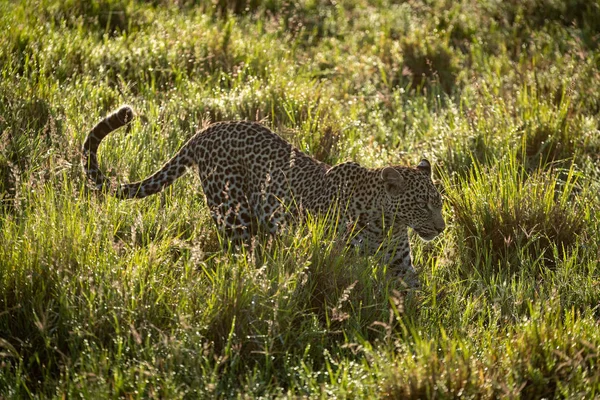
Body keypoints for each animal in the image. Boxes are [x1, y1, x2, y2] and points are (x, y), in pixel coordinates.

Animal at [82, 104, 442, 282]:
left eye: (438, 203)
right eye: (422, 205)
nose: (441, 228)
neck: (387, 223)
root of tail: (208, 129)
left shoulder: (400, 265)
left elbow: (412, 296)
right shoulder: (338, 256)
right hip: (232, 213)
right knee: (238, 254)